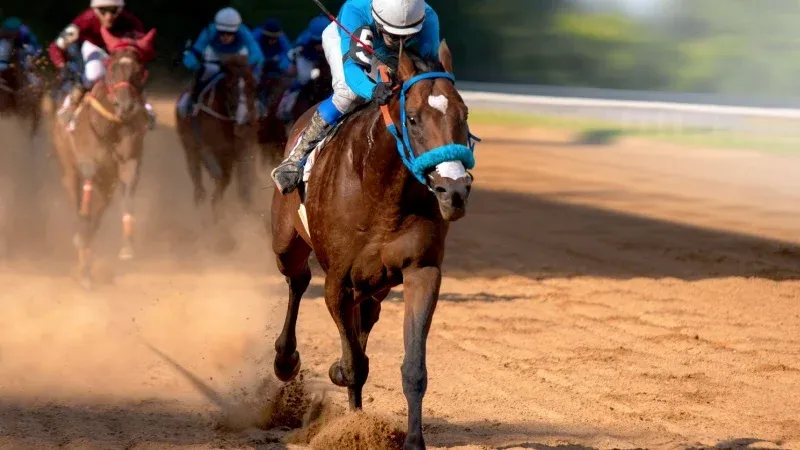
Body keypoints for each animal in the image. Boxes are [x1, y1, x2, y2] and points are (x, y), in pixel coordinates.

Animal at [51, 27, 156, 288]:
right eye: (112, 67)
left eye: (139, 70)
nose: (126, 106)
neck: (112, 124)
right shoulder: (89, 161)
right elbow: (85, 202)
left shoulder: (129, 162)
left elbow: (127, 192)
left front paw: (127, 247)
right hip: (68, 165)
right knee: (77, 199)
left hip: (107, 180)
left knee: (100, 209)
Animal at [176, 53, 260, 222]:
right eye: (229, 88)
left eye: (253, 86)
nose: (244, 121)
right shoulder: (218, 151)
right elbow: (224, 179)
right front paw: (216, 209)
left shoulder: (243, 149)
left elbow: (244, 182)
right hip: (192, 149)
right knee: (197, 175)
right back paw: (201, 200)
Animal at [272, 40, 478, 448]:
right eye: (412, 118)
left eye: (463, 114)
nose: (453, 191)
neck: (380, 189)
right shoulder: (337, 281)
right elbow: (353, 364)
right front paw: (352, 425)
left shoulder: (421, 270)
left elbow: (412, 367)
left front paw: (412, 440)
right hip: (286, 243)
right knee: (297, 280)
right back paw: (286, 360)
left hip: (376, 284)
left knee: (366, 315)